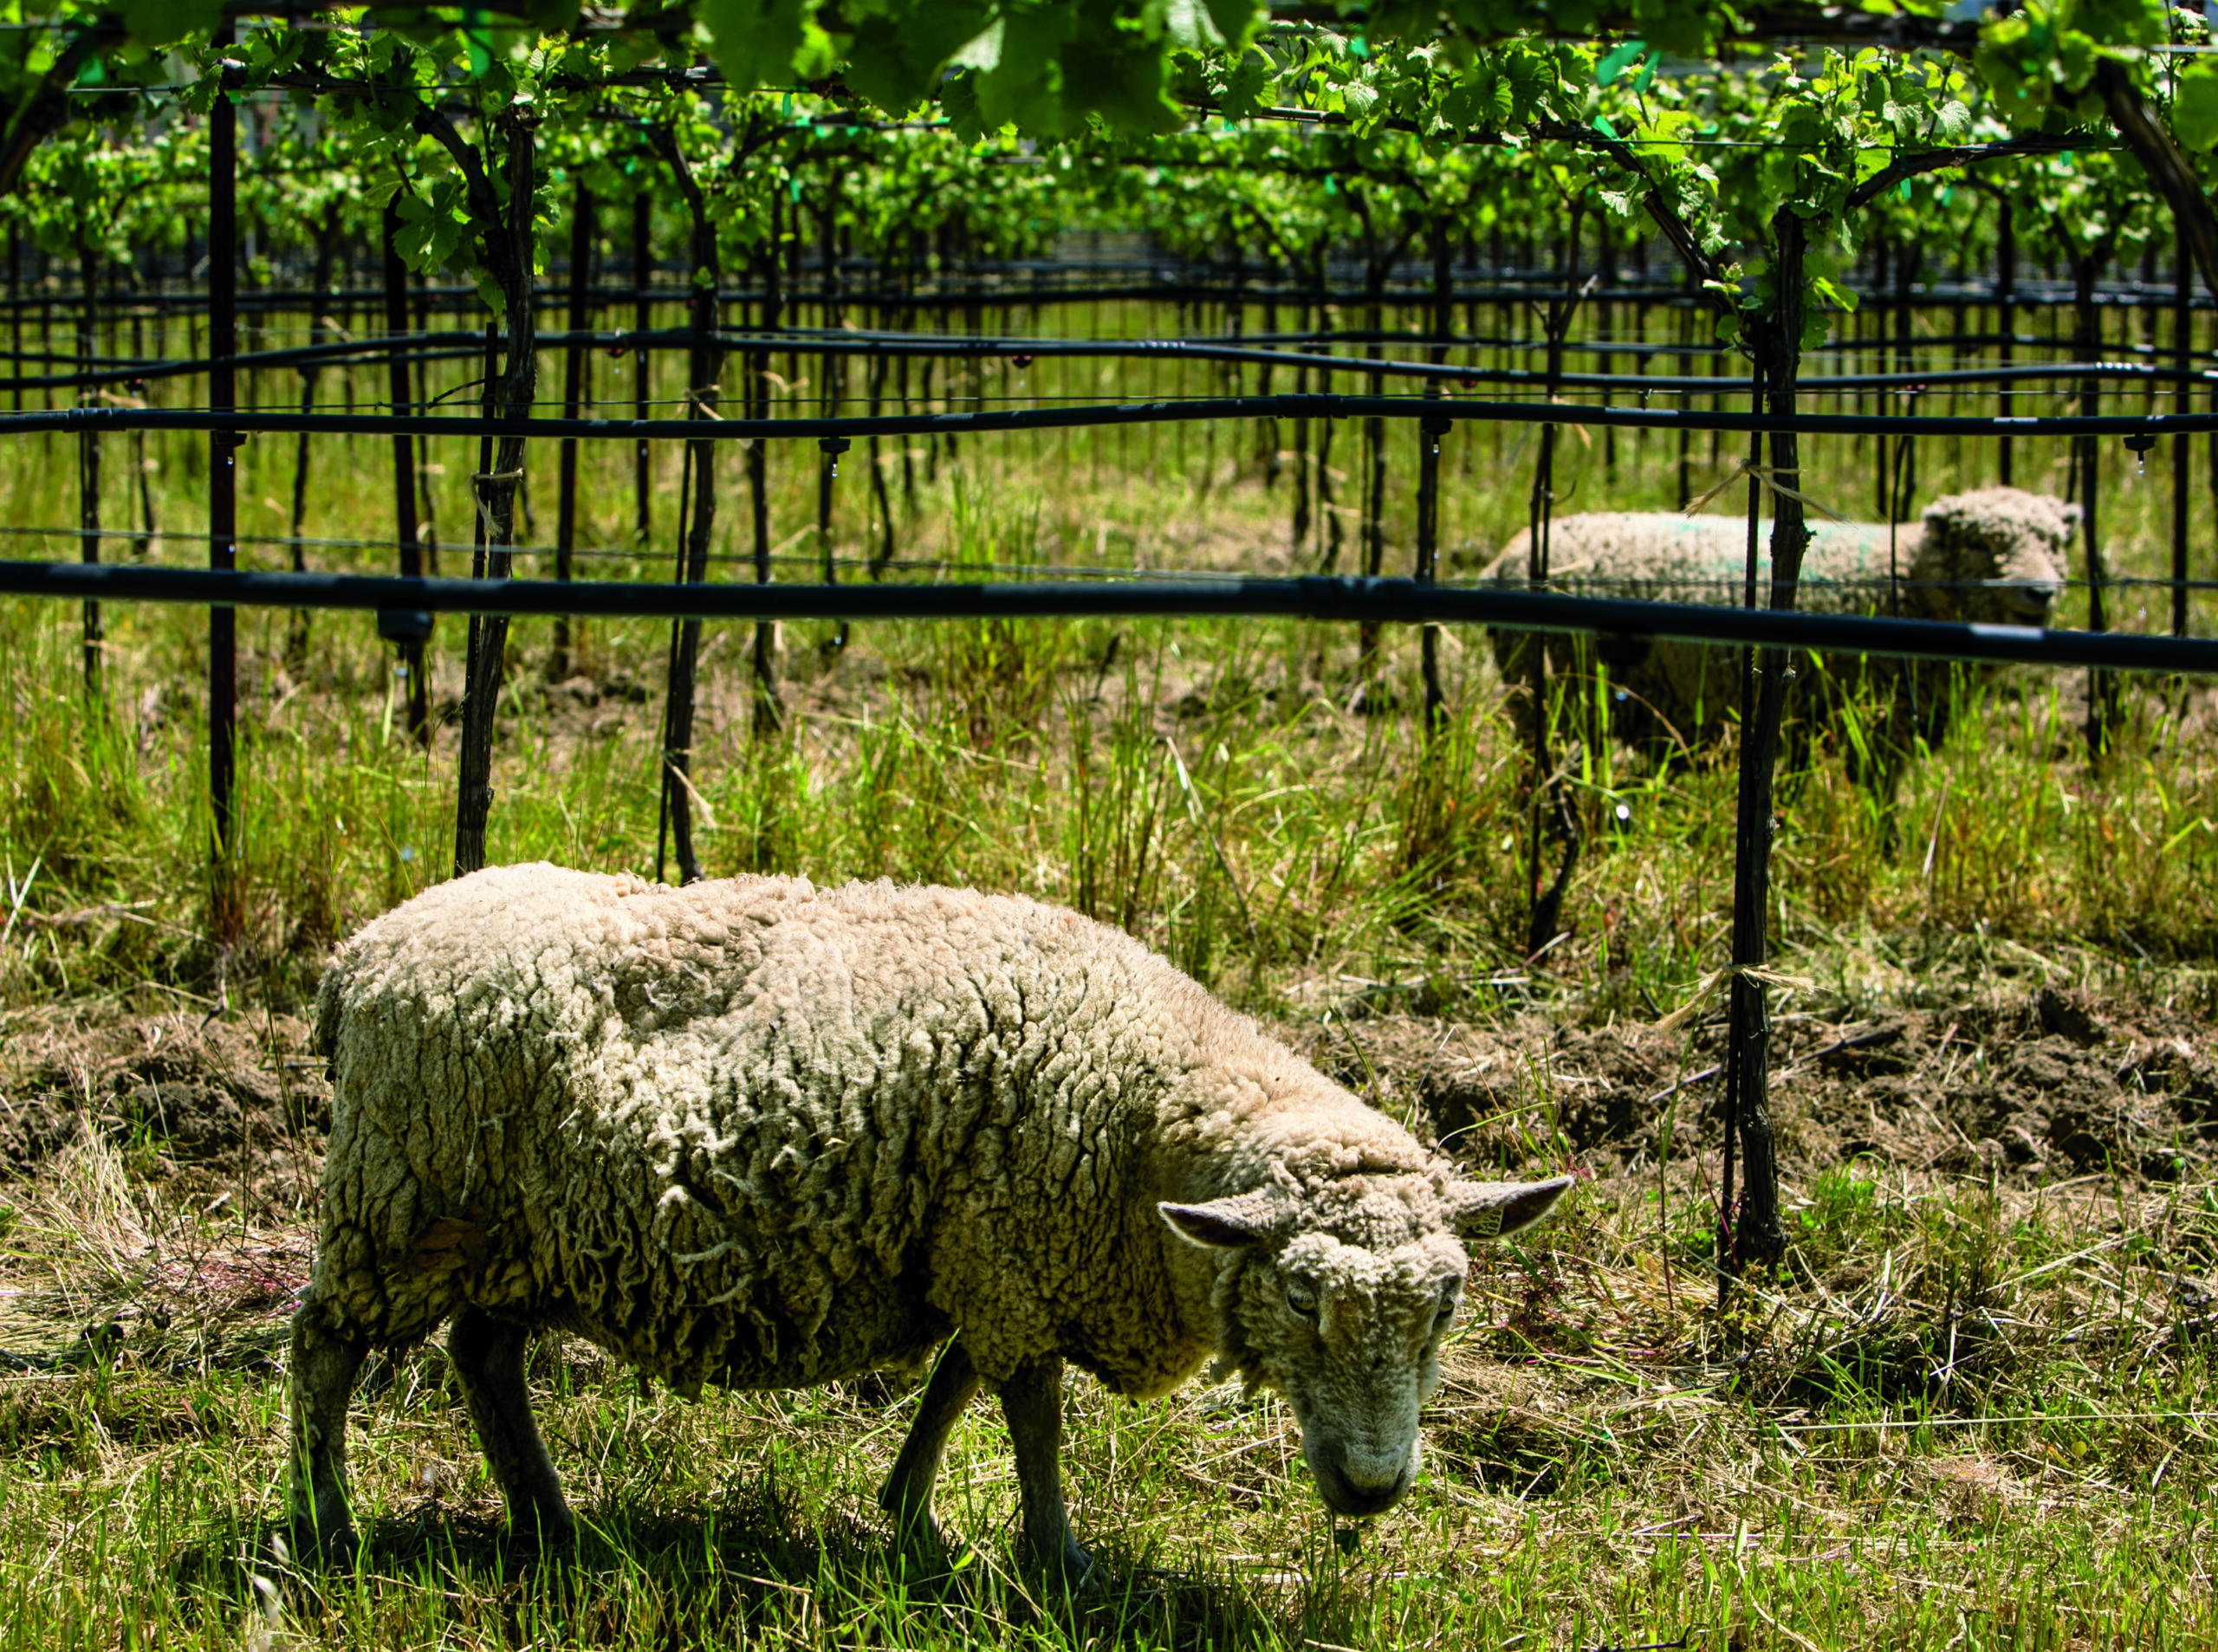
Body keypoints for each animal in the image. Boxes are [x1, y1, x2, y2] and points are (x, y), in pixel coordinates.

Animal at [291, 864, 1572, 1576]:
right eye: (1301, 1295)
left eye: (1446, 1305)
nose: (1371, 1488)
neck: (1153, 1102)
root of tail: (361, 954)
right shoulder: (1013, 1252)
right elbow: (1031, 1415)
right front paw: (1057, 1556)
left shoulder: (982, 1248)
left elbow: (956, 1381)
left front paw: (905, 1508)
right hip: (398, 1204)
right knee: (324, 1350)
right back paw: (326, 1522)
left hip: (516, 1231)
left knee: (481, 1353)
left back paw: (548, 1520)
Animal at [1477, 486, 2075, 789]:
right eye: (1981, 543)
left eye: (2055, 541)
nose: (2040, 592)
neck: (1907, 581)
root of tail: (1502, 561)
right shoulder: (1877, 726)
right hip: (1545, 694)